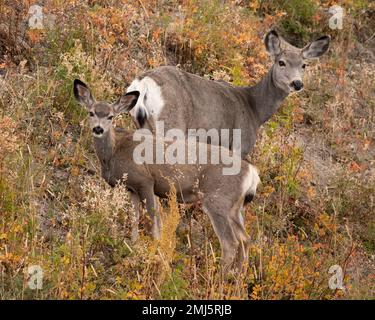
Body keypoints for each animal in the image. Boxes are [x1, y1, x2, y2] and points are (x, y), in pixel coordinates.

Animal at [73, 79, 262, 270]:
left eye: (110, 116)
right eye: (91, 113)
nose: (98, 129)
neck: (114, 151)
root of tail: (252, 173)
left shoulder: (145, 180)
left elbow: (154, 222)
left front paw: (154, 252)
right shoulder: (131, 188)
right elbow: (134, 219)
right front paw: (133, 247)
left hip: (218, 200)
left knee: (230, 243)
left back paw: (221, 276)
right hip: (235, 206)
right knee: (245, 239)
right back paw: (238, 274)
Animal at [127, 30, 332, 158]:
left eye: (304, 65)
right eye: (281, 62)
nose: (297, 83)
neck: (255, 110)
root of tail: (144, 83)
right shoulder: (240, 145)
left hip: (144, 125)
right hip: (172, 124)